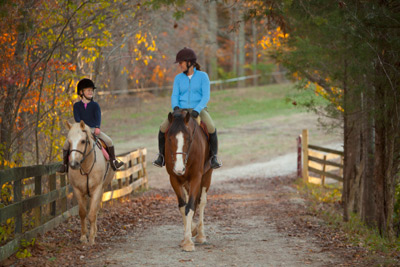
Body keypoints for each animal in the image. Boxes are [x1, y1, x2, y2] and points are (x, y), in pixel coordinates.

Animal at [164, 110, 212, 252]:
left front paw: (188, 242)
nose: (179, 168)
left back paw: (201, 235)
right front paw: (187, 235)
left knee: (201, 202)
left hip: (207, 176)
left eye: (189, 139)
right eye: (169, 139)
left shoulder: (196, 178)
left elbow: (190, 207)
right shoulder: (174, 179)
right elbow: (183, 206)